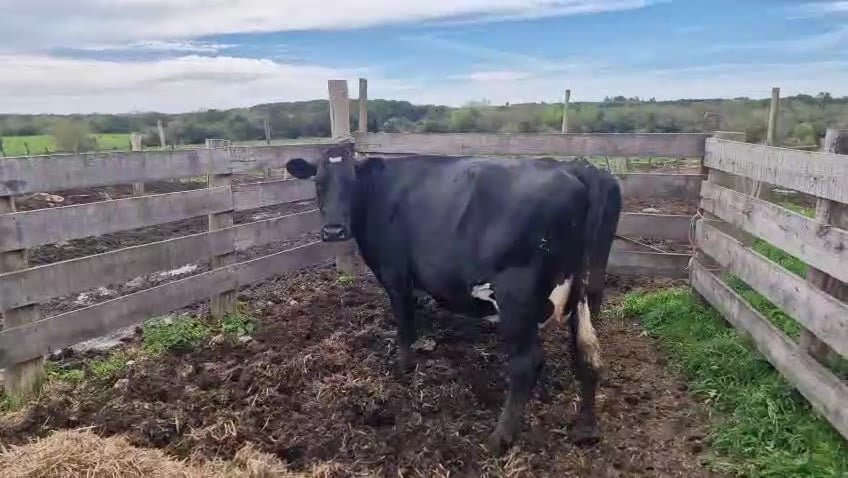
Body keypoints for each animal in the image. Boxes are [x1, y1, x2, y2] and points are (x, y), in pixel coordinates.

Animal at [285, 142, 621, 453]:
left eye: (352, 182)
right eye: (318, 182)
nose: (333, 230)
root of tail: (578, 168)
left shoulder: (395, 275)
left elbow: (404, 325)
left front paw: (404, 368)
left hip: (517, 296)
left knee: (526, 364)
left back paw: (500, 438)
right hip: (586, 295)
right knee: (587, 356)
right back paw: (586, 429)